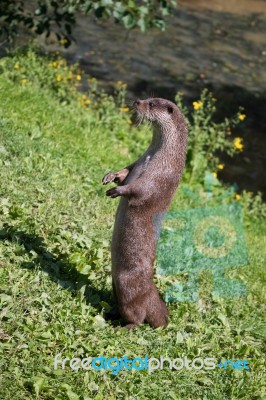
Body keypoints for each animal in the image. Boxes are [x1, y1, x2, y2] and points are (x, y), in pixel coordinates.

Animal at [102, 97, 187, 328]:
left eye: (152, 103)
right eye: (148, 98)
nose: (137, 101)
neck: (154, 158)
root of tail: (151, 292)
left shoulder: (160, 176)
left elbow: (139, 190)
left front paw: (118, 191)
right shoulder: (137, 162)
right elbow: (125, 172)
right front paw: (111, 175)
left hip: (127, 284)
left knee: (138, 316)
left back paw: (124, 327)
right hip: (114, 282)